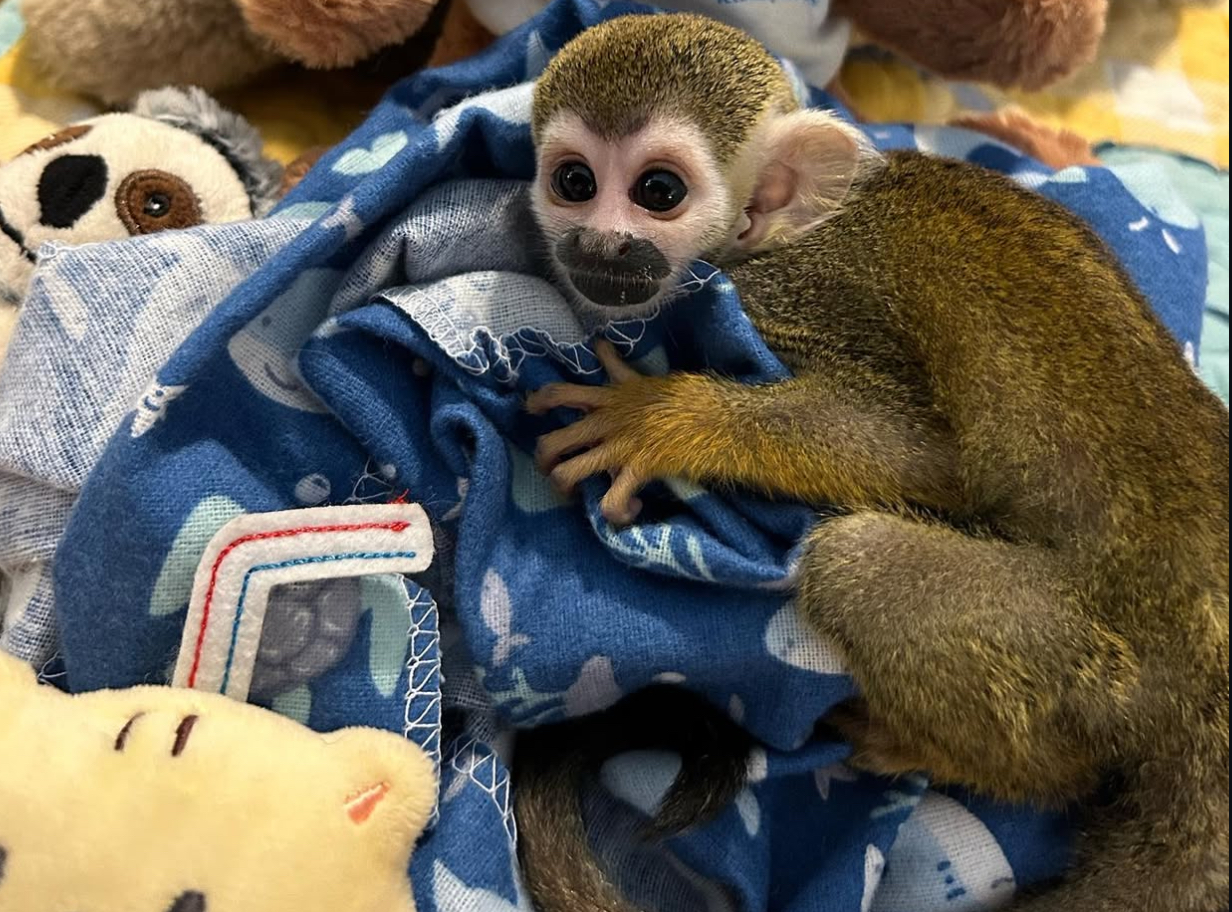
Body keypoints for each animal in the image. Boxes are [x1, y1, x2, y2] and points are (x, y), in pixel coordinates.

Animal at [511, 13, 1231, 912]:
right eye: (574, 181)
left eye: (658, 193)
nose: (597, 243)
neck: (797, 227)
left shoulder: (792, 294)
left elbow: (926, 453)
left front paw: (662, 420)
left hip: (1101, 668)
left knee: (859, 558)